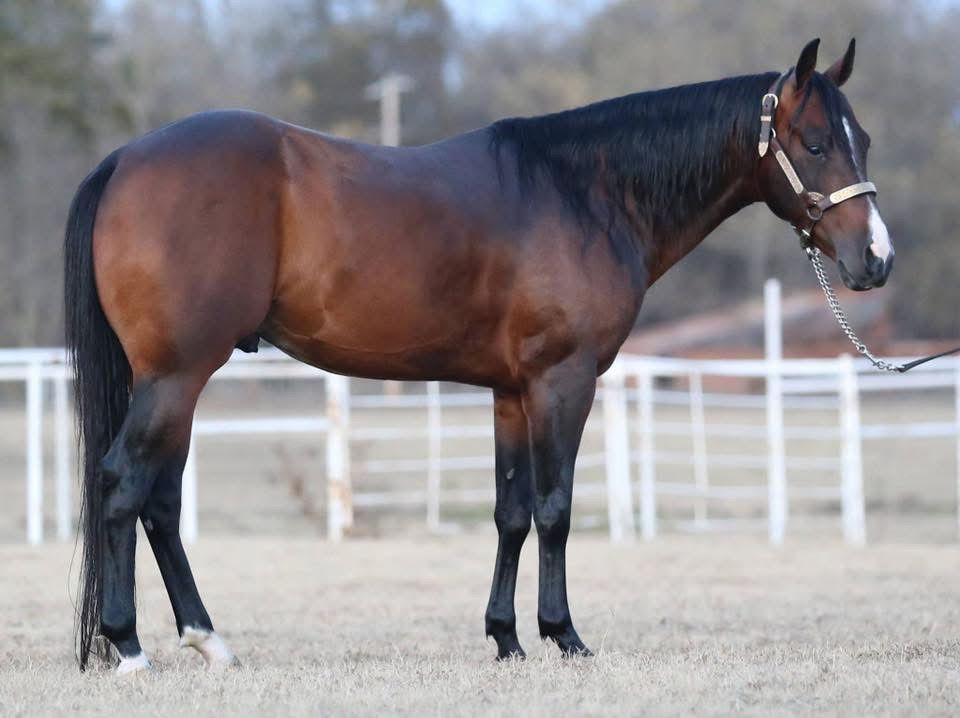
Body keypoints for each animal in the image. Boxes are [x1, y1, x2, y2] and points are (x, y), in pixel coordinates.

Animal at [64, 37, 892, 673]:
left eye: (863, 140)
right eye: (815, 142)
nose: (876, 260)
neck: (584, 192)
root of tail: (125, 160)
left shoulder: (509, 391)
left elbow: (511, 513)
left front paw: (507, 640)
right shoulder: (563, 381)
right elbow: (556, 509)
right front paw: (565, 637)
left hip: (173, 380)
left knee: (160, 503)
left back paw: (209, 642)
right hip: (176, 375)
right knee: (122, 485)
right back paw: (130, 648)